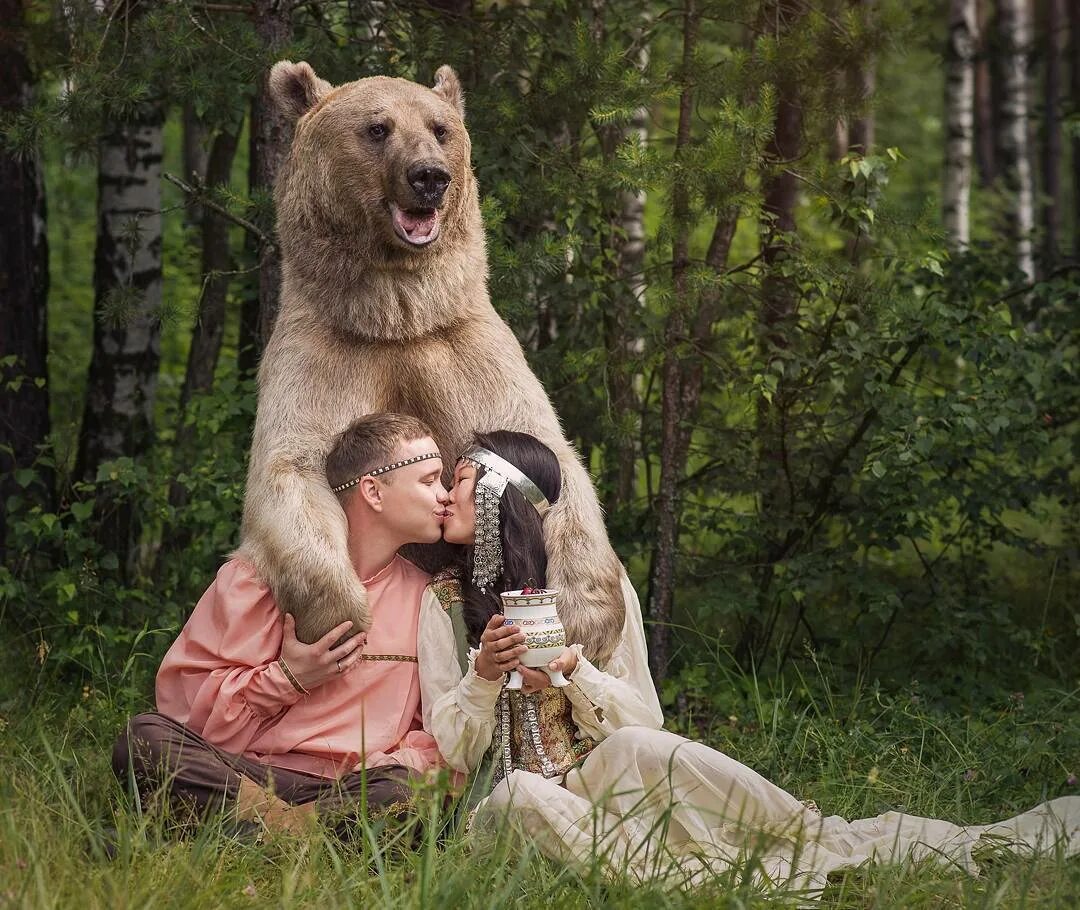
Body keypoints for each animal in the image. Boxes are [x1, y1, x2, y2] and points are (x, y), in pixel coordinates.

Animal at [236, 62, 626, 660]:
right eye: (377, 128)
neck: (399, 317)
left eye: (440, 128)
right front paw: (344, 620)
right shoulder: (324, 357)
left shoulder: (470, 355)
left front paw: (583, 618)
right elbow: (291, 467)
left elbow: (553, 459)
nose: (429, 176)